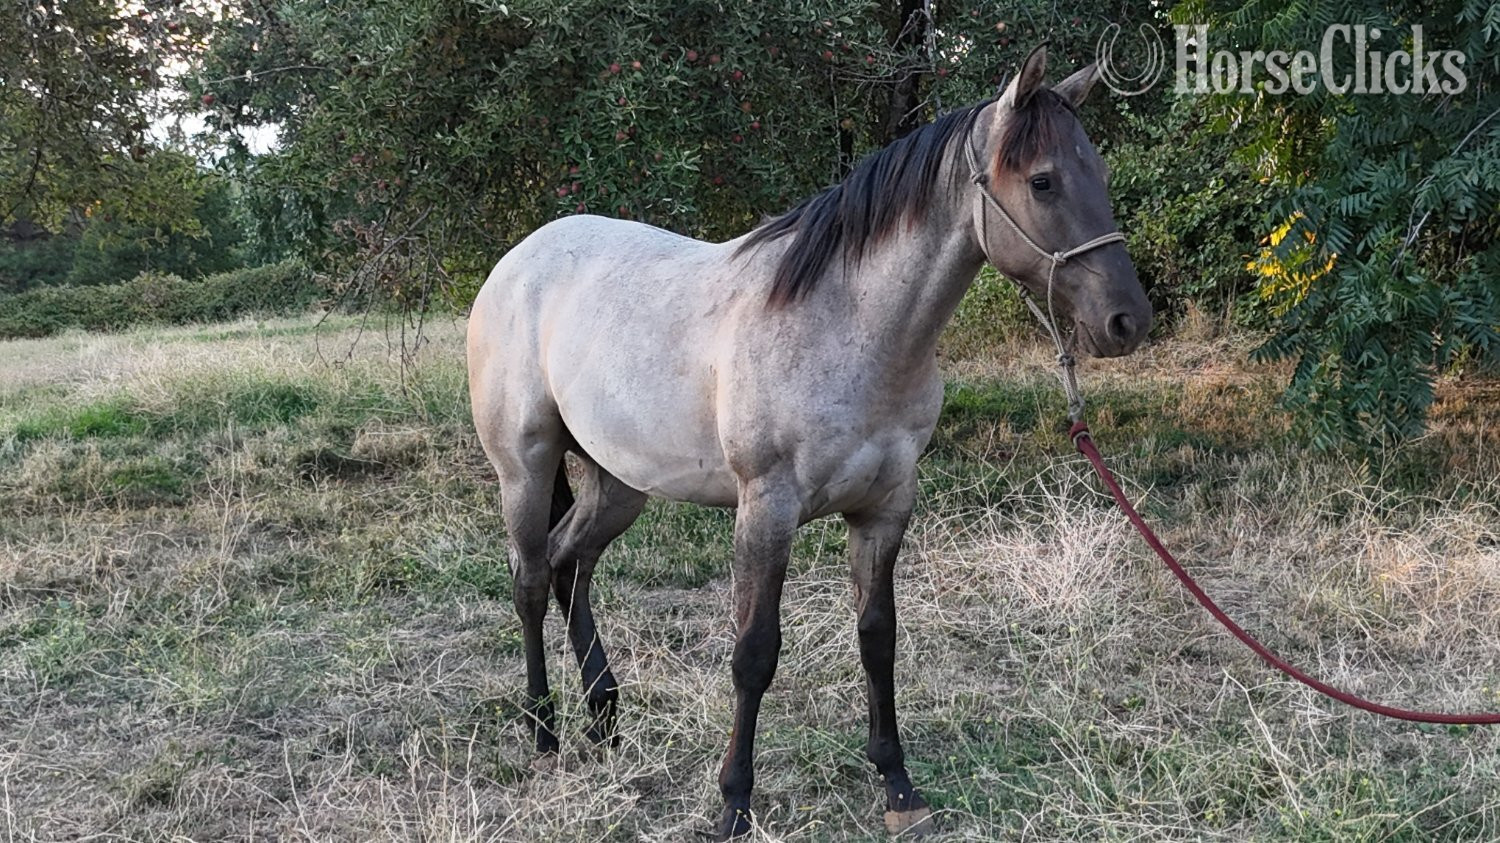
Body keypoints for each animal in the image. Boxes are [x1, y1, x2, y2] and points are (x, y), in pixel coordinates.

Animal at [467, 45, 1152, 839]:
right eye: (1042, 180)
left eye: (1099, 173)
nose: (1127, 320)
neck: (846, 325)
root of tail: (519, 258)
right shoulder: (767, 510)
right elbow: (754, 654)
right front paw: (734, 803)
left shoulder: (885, 508)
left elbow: (878, 638)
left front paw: (897, 784)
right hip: (526, 465)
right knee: (531, 578)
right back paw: (544, 732)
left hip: (620, 481)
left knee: (572, 564)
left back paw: (605, 718)